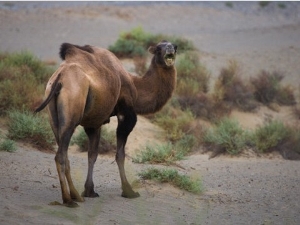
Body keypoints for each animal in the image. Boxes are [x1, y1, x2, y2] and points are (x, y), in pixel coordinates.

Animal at [34, 40, 177, 207]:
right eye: (159, 48)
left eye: (174, 46)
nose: (170, 49)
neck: (135, 87)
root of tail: (59, 79)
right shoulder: (126, 114)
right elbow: (120, 154)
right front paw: (128, 191)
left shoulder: (94, 123)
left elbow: (92, 154)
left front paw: (89, 191)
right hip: (71, 113)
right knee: (60, 156)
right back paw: (68, 200)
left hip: (54, 119)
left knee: (64, 153)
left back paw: (76, 195)